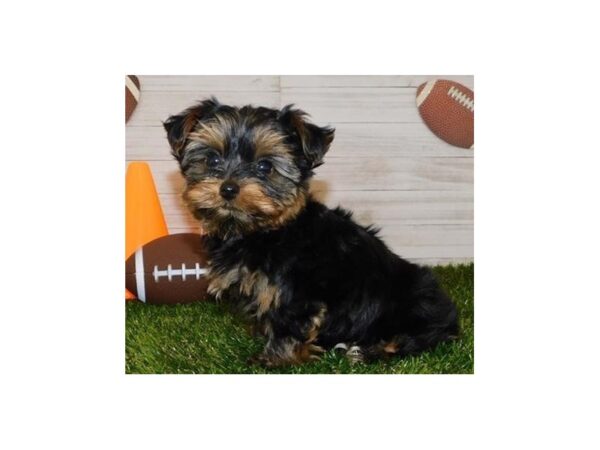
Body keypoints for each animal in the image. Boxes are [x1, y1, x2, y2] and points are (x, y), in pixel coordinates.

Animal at [164, 97, 460, 366]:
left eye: (264, 166)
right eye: (212, 159)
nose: (228, 188)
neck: (264, 231)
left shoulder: (296, 292)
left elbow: (287, 323)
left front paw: (274, 359)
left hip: (414, 302)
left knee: (416, 338)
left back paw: (368, 350)